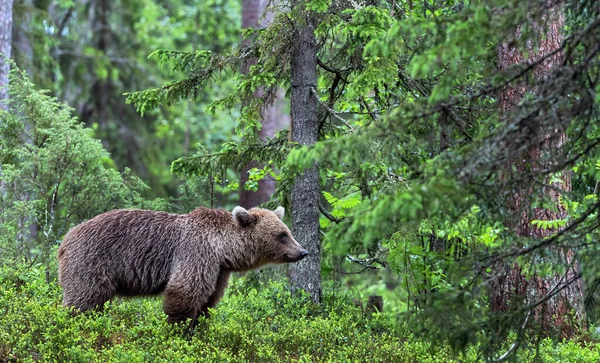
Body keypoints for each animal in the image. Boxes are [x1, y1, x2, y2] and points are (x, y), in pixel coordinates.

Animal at [58, 206, 308, 328]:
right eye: (282, 235)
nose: (303, 251)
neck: (223, 250)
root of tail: (64, 240)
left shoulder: (219, 271)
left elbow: (208, 302)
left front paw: (199, 330)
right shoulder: (196, 253)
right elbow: (185, 291)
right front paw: (178, 331)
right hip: (93, 261)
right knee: (83, 300)